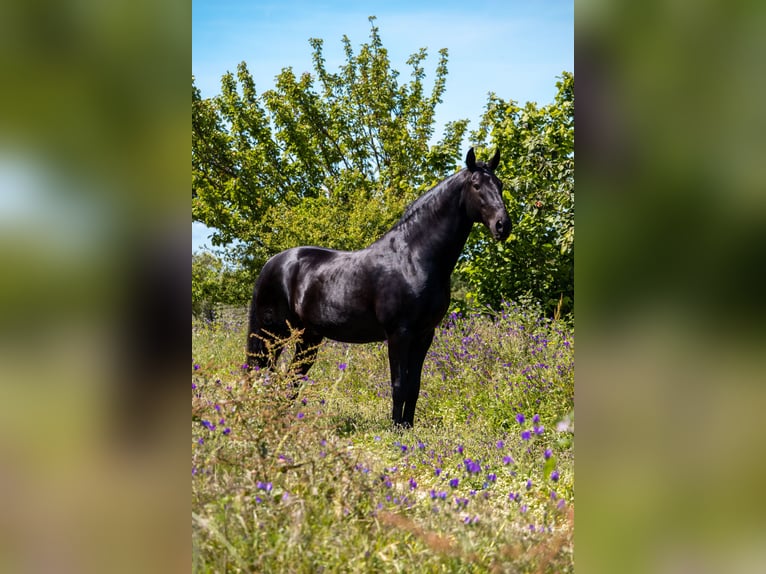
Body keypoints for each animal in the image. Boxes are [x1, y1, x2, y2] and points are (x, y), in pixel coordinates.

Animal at [246, 148, 510, 428]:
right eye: (476, 185)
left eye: (500, 184)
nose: (503, 225)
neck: (414, 257)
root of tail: (272, 264)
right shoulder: (399, 334)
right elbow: (399, 385)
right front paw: (395, 429)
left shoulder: (424, 335)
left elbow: (414, 386)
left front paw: (407, 427)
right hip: (272, 335)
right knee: (262, 372)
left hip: (308, 337)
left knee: (291, 378)